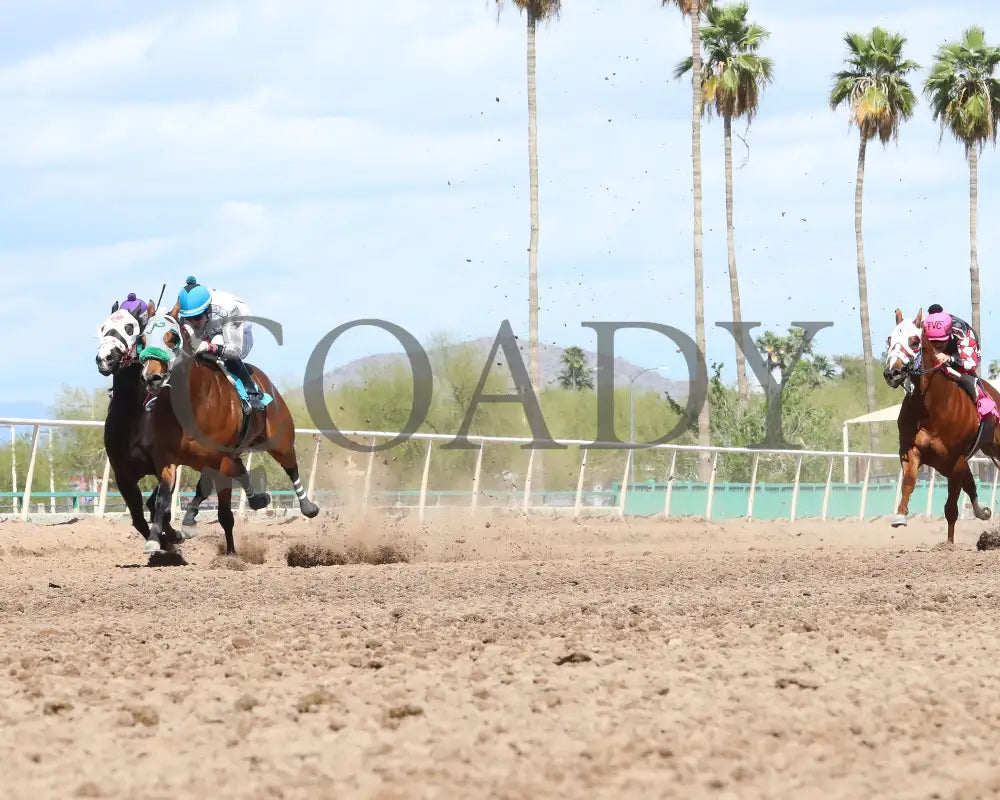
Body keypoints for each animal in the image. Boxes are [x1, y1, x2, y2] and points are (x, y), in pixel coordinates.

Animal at [139, 306, 318, 556]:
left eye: (172, 338)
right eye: (142, 340)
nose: (151, 377)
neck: (193, 403)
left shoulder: (218, 460)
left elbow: (221, 511)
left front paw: (230, 554)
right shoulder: (168, 458)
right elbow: (162, 499)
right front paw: (155, 538)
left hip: (279, 441)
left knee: (291, 468)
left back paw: (307, 506)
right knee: (237, 470)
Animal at [884, 306, 1000, 544]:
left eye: (914, 342)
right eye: (889, 340)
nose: (892, 373)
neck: (931, 407)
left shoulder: (955, 461)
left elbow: (951, 509)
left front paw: (948, 545)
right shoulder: (911, 451)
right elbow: (908, 482)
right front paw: (900, 515)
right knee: (970, 485)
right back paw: (983, 512)